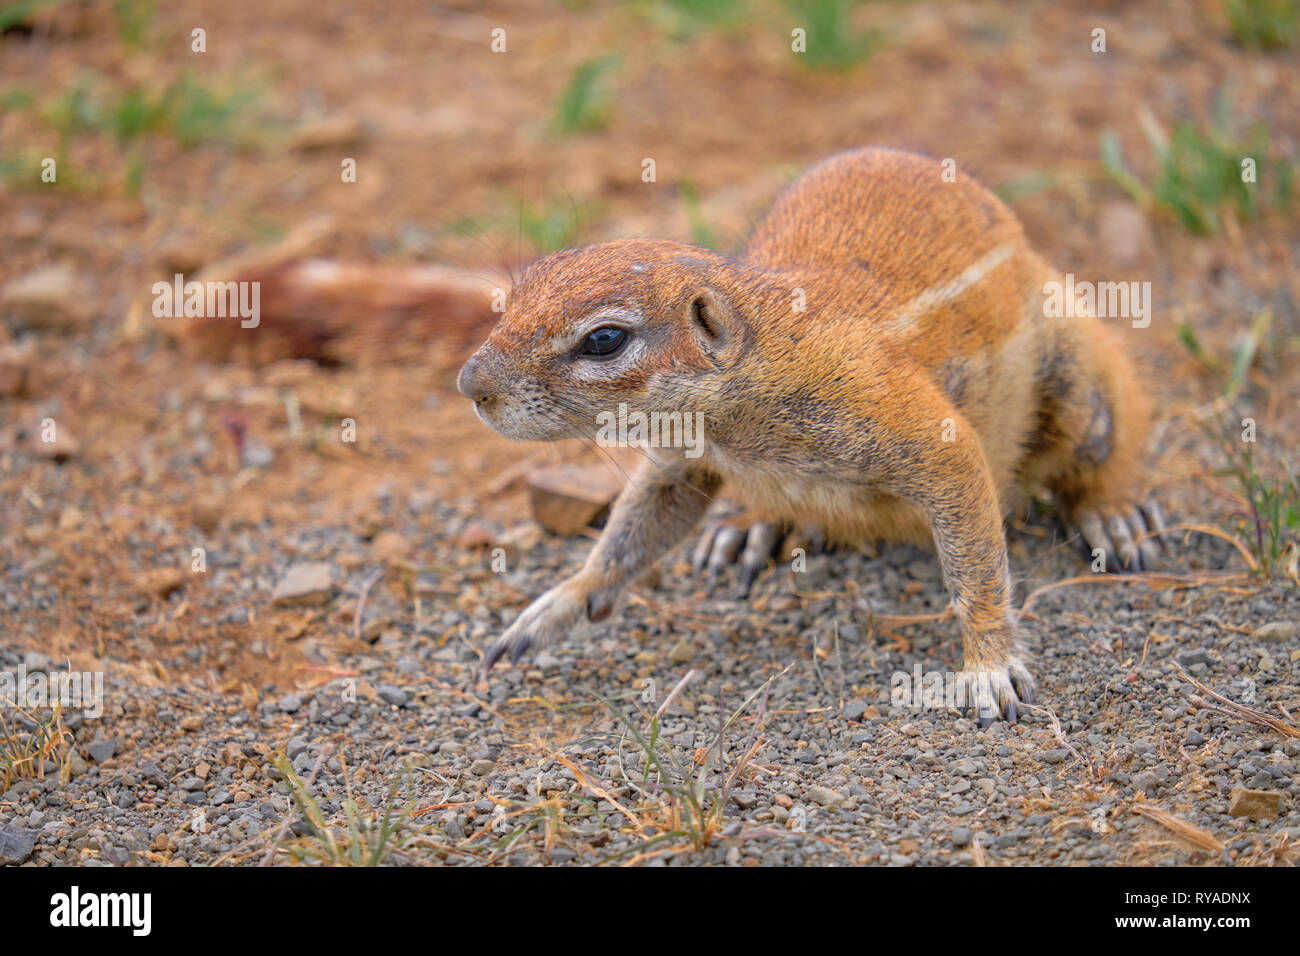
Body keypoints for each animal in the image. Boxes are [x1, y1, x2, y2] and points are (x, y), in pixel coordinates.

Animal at [460, 145, 1170, 723]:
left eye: (605, 339)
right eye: (522, 286)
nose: (471, 384)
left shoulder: (920, 431)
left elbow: (976, 560)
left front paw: (989, 666)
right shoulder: (682, 458)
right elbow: (630, 532)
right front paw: (553, 608)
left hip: (1078, 380)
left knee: (1102, 447)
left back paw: (1115, 516)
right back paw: (751, 528)